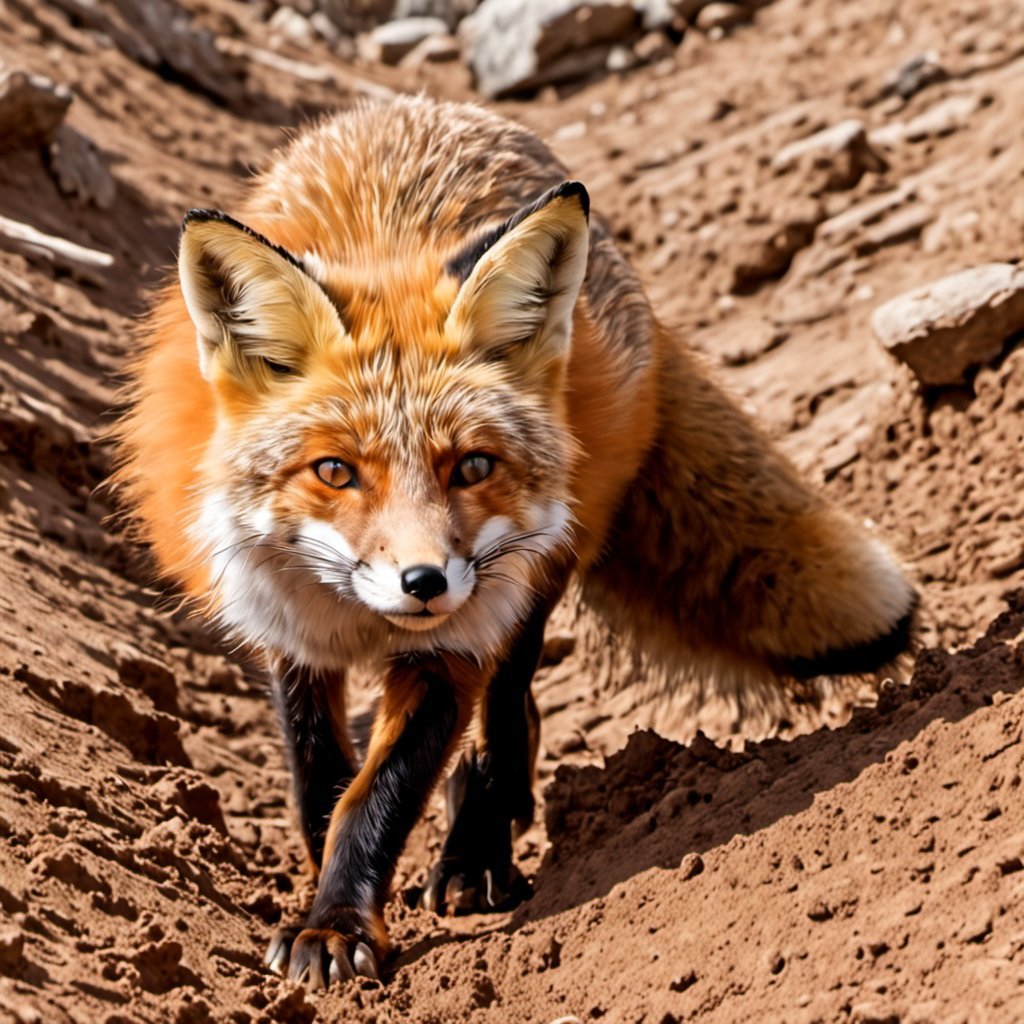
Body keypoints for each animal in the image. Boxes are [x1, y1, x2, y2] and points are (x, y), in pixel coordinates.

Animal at [113, 95, 918, 988]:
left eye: (471, 465)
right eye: (334, 471)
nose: (424, 582)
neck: (362, 619)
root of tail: (432, 106)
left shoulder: (452, 648)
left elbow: (377, 796)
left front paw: (339, 923)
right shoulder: (290, 634)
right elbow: (322, 783)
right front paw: (324, 897)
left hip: (533, 573)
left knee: (508, 706)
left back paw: (481, 850)